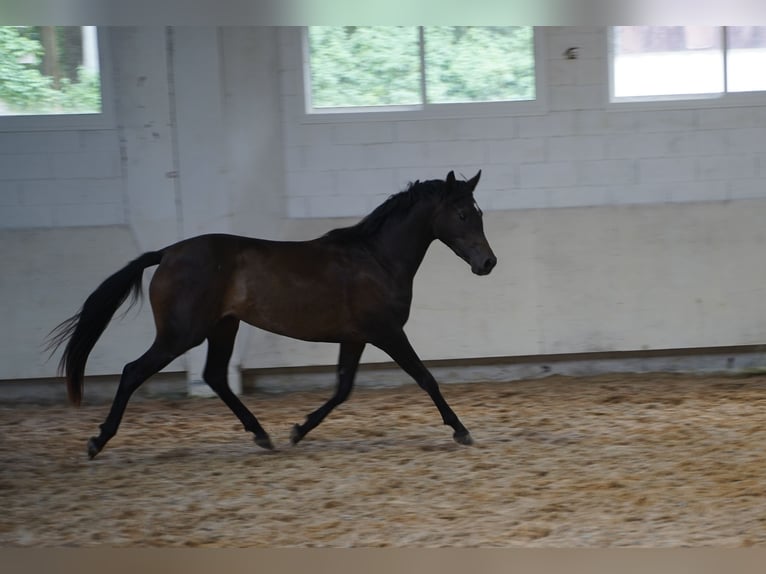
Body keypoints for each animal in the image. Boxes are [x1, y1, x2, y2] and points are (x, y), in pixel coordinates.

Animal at [51, 170, 500, 460]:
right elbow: (426, 378)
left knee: (215, 376)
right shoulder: (386, 333)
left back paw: (262, 435)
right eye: (462, 214)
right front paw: (461, 431)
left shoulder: (355, 337)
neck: (376, 258)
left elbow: (342, 389)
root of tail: (166, 254)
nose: (488, 263)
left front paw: (298, 431)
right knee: (133, 372)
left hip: (223, 327)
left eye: (479, 214)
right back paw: (98, 441)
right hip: (181, 335)